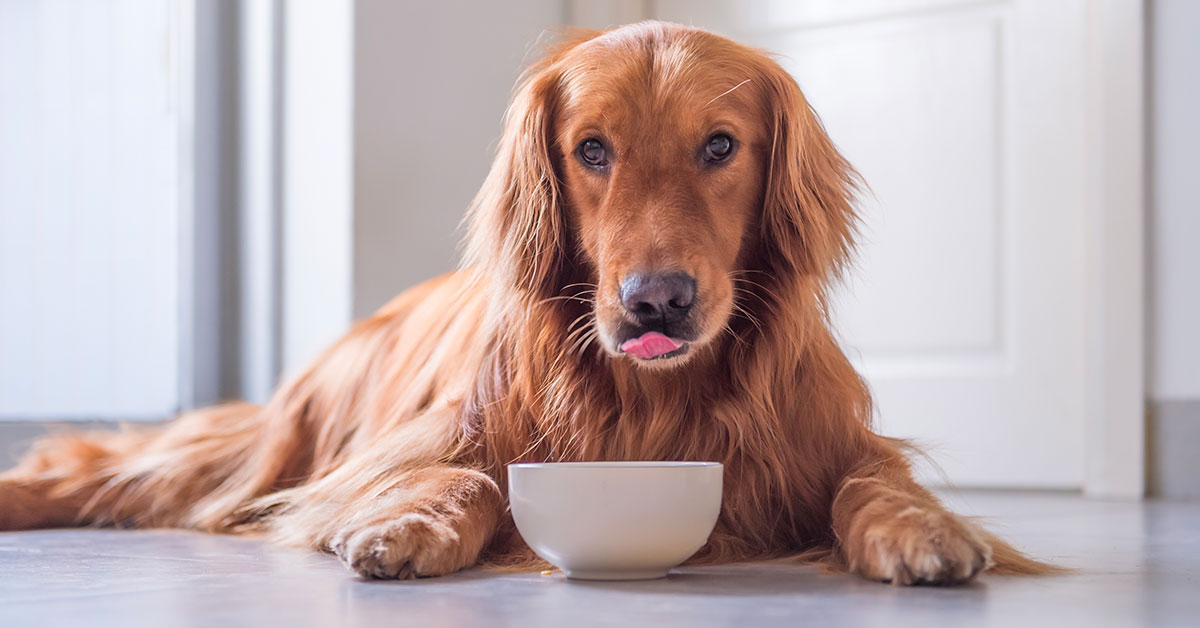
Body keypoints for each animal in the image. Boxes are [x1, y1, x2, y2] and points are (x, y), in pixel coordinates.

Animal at [0, 22, 1046, 588]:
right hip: (269, 448)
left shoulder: (835, 443)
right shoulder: (415, 448)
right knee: (109, 469)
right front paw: (409, 528)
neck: (657, 401)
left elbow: (873, 484)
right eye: (592, 150)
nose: (656, 301)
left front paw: (924, 532)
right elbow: (463, 478)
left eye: (720, 145)